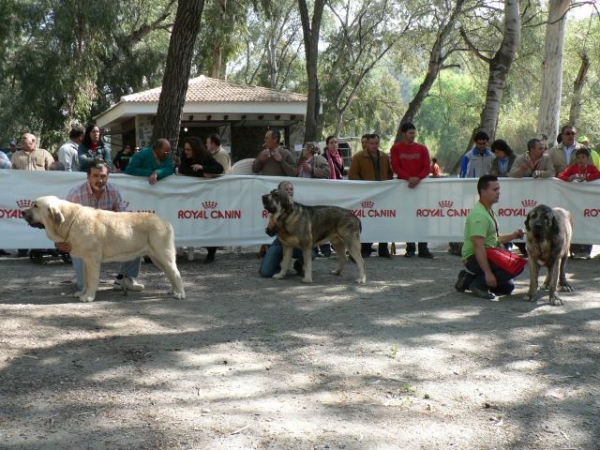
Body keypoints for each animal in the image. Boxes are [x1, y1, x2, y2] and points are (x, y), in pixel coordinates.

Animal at [22, 194, 185, 302]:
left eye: (35, 206)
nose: (22, 212)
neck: (70, 221)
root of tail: (165, 221)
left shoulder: (92, 259)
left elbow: (92, 279)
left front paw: (88, 297)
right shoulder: (86, 260)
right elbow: (86, 279)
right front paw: (82, 293)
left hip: (164, 254)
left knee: (175, 273)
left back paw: (180, 293)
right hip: (157, 258)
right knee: (169, 273)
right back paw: (173, 290)